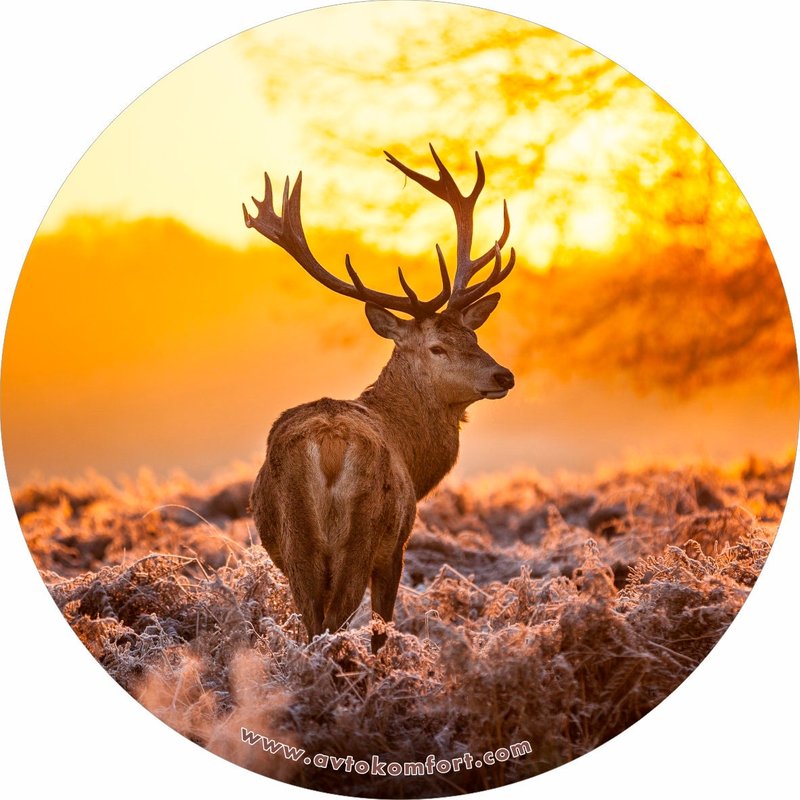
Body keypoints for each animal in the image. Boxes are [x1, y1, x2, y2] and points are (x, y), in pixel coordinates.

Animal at [243, 145, 515, 653]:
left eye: (473, 335)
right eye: (437, 347)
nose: (503, 374)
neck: (413, 454)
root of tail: (329, 446)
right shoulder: (397, 546)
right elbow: (381, 630)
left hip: (296, 542)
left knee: (312, 622)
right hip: (362, 534)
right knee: (335, 622)